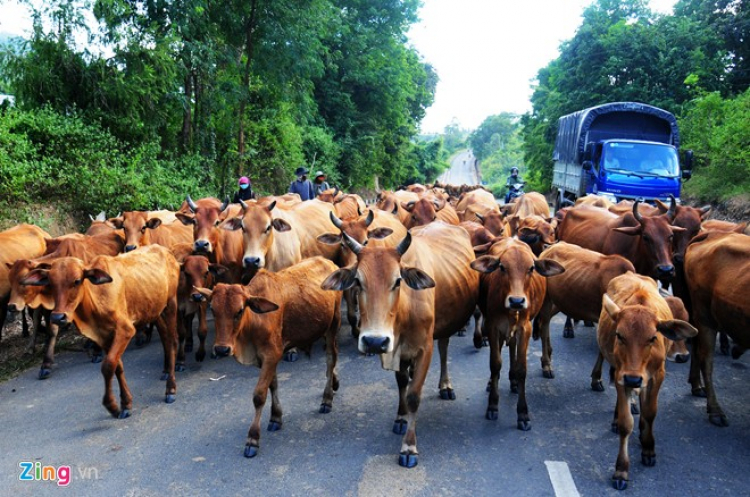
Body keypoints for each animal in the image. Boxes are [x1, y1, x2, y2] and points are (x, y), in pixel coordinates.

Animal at [19, 244, 181, 418]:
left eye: (77, 281)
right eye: (50, 282)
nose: (57, 317)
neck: (95, 299)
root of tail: (165, 251)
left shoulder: (125, 330)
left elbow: (108, 365)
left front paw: (111, 405)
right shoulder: (103, 336)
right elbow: (117, 366)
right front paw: (125, 404)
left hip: (171, 304)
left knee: (172, 342)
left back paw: (171, 388)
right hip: (154, 310)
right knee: (165, 338)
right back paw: (166, 371)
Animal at [198, 258, 342, 460]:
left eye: (239, 311)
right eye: (213, 308)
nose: (221, 349)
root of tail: (329, 262)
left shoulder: (272, 354)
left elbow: (259, 395)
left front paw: (252, 439)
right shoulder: (266, 359)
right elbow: (272, 385)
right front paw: (276, 417)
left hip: (333, 325)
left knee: (331, 358)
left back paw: (327, 398)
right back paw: (335, 383)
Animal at [320, 222, 478, 464]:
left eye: (397, 281)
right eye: (358, 281)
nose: (374, 341)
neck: (405, 310)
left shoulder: (424, 349)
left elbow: (414, 395)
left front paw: (409, 446)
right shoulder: (396, 348)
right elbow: (402, 383)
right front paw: (401, 417)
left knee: (444, 348)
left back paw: (445, 385)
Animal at [592, 272, 700, 488]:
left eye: (652, 337)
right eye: (619, 335)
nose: (633, 378)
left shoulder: (657, 375)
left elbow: (650, 412)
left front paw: (649, 448)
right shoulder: (621, 375)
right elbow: (626, 423)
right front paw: (621, 470)